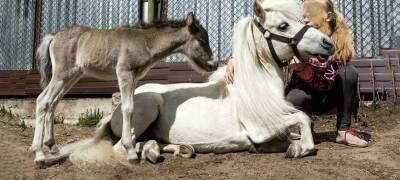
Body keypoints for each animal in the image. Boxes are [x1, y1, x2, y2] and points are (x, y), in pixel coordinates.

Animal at [46, 0, 334, 167]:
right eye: (283, 25)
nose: (327, 43)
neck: (254, 91)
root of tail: (114, 111)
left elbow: (297, 127)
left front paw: (292, 145)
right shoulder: (261, 127)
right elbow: (302, 120)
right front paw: (300, 149)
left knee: (151, 141)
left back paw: (171, 149)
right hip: (146, 108)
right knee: (122, 146)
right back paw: (146, 153)